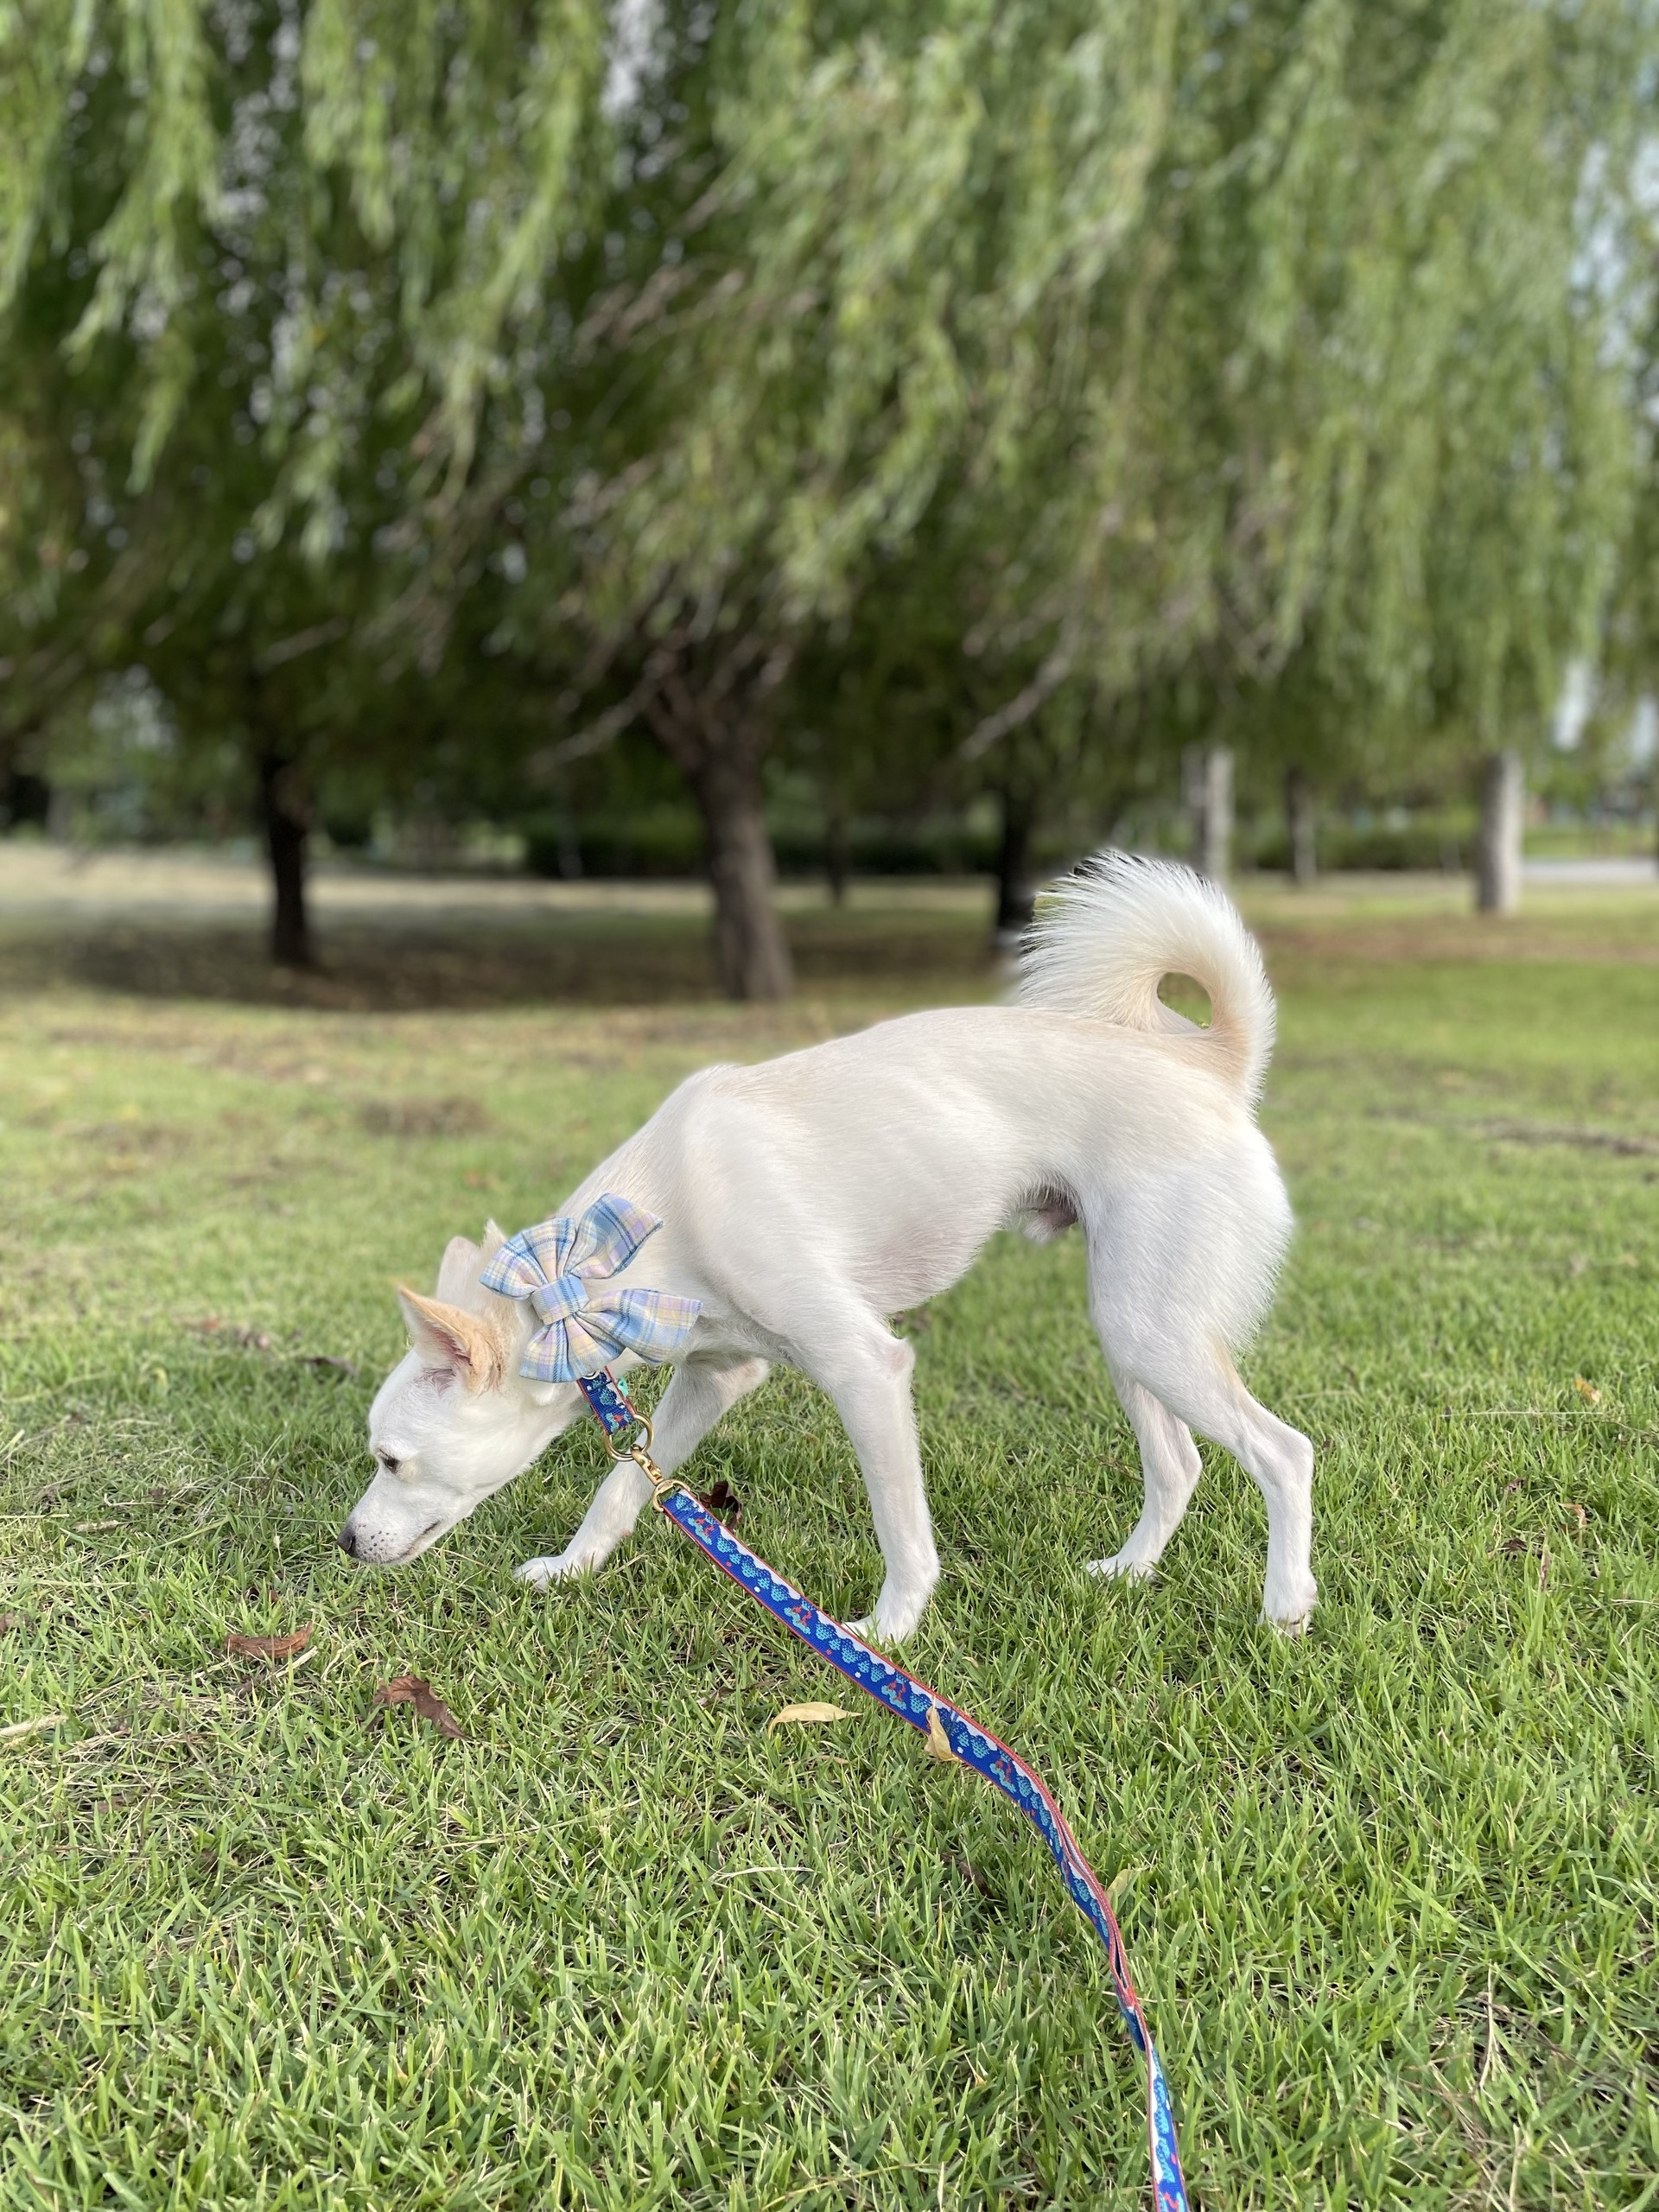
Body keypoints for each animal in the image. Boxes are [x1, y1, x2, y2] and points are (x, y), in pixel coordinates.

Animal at [340, 853, 1316, 1640]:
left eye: (390, 1459)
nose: (347, 1541)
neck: (608, 1260)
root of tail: (1209, 1063)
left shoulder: (865, 1368)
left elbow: (901, 1526)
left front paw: (888, 1634)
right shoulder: (717, 1373)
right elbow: (623, 1487)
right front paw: (571, 1568)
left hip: (1153, 1330)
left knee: (1284, 1452)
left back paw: (1284, 1609)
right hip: (1131, 1330)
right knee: (1180, 1466)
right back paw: (1126, 1572)